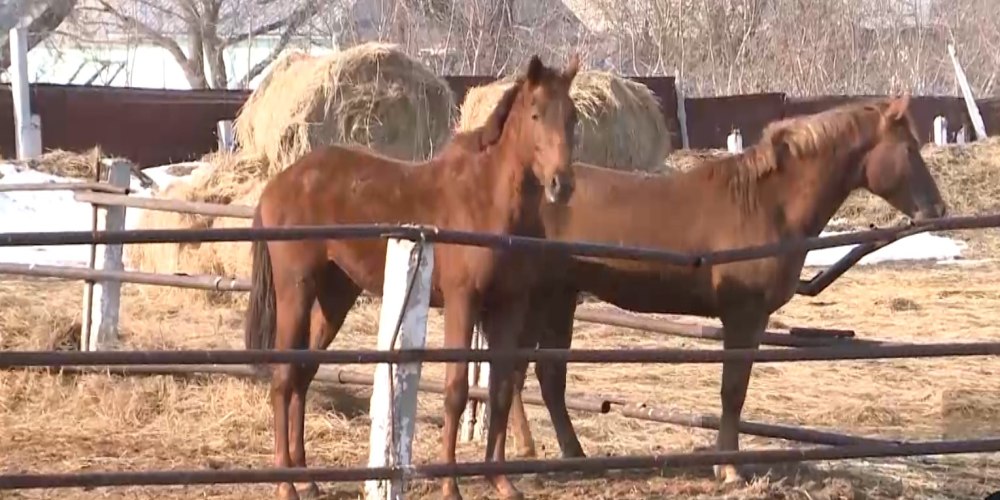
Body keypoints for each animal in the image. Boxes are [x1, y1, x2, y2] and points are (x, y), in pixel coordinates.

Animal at [242, 54, 584, 500]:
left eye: (573, 117)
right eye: (536, 113)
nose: (562, 184)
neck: (488, 199)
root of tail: (276, 185)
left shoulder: (508, 306)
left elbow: (500, 390)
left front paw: (501, 481)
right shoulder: (462, 301)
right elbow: (456, 390)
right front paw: (450, 485)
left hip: (334, 298)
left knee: (302, 375)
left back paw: (307, 478)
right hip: (296, 291)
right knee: (284, 378)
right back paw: (286, 484)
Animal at [500, 95, 944, 482]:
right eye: (908, 147)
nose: (937, 210)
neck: (765, 203)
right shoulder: (743, 316)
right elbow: (733, 391)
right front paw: (729, 468)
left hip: (555, 299)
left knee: (537, 376)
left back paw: (560, 454)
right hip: (542, 299)